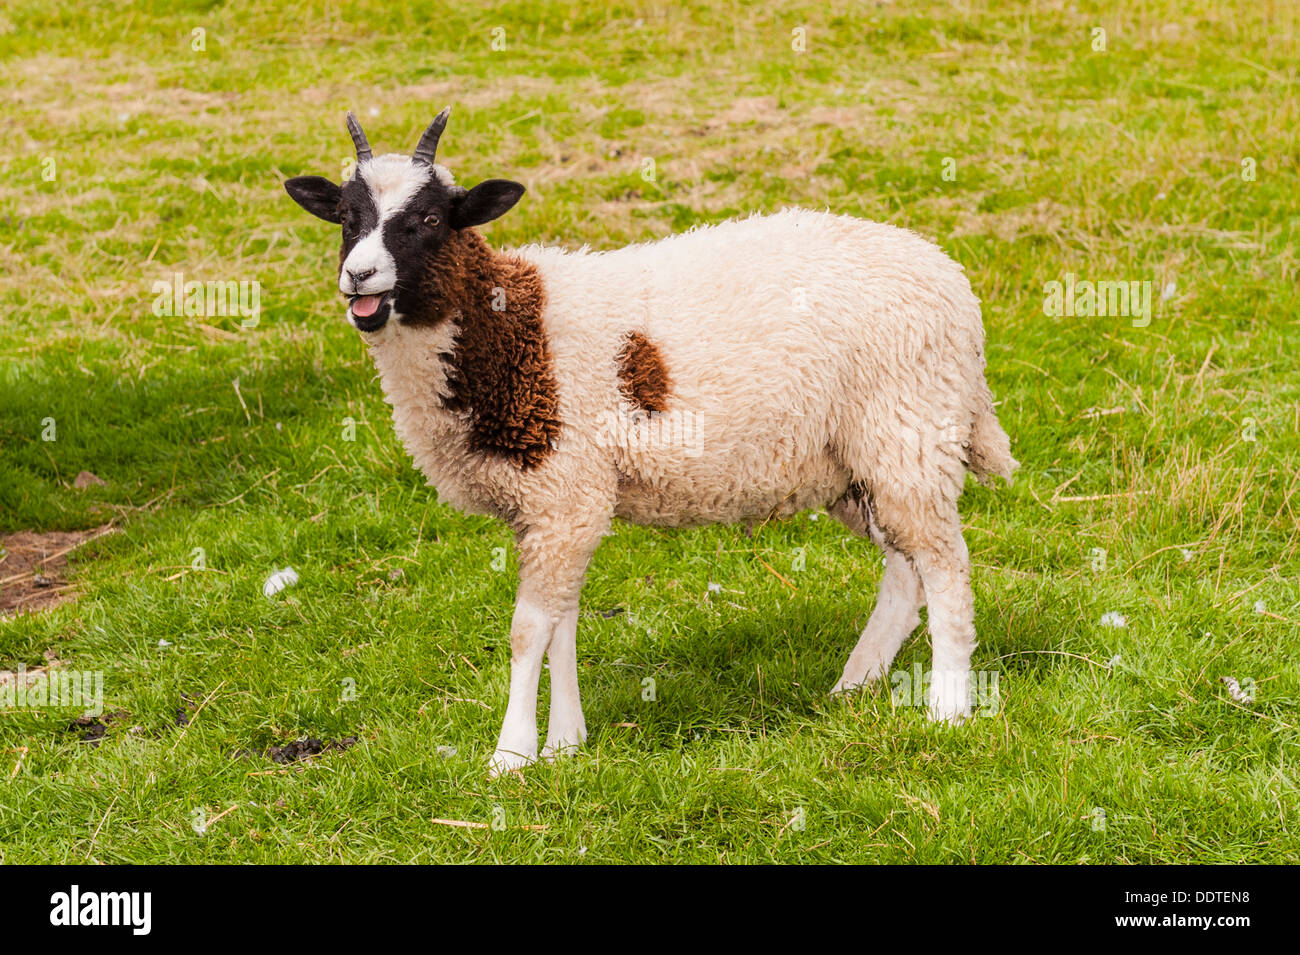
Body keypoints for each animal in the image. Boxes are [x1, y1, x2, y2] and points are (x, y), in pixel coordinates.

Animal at [284, 108, 1013, 779]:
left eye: (432, 219)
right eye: (346, 217)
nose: (359, 276)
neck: (504, 327)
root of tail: (953, 282)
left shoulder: (564, 492)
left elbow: (528, 631)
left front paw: (511, 756)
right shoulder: (553, 504)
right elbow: (562, 624)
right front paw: (566, 743)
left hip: (909, 430)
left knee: (946, 563)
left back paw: (948, 706)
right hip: (856, 463)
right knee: (905, 570)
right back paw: (852, 686)